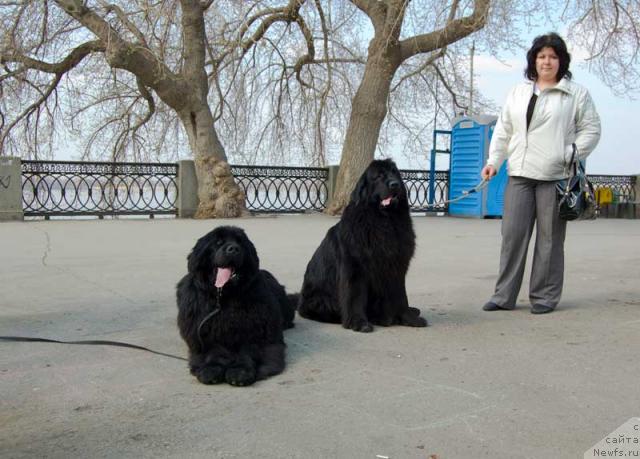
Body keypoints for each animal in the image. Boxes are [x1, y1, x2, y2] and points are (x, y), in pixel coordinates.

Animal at [175, 226, 296, 384]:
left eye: (240, 243)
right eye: (218, 242)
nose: (233, 249)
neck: (225, 298)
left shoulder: (259, 334)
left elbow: (248, 350)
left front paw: (240, 371)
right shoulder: (203, 336)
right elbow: (214, 351)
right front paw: (211, 369)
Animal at [298, 160, 428, 332]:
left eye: (395, 173)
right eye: (378, 176)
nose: (395, 184)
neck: (383, 221)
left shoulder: (396, 267)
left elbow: (401, 295)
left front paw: (408, 318)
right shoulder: (356, 268)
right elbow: (355, 296)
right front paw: (359, 322)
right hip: (321, 300)